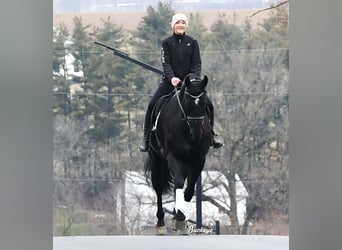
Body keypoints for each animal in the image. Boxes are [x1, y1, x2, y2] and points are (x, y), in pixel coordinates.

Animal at [144, 73, 212, 234]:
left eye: (204, 102)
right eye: (186, 101)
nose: (196, 133)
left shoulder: (199, 159)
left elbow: (189, 189)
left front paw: (181, 218)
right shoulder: (173, 156)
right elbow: (179, 183)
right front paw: (180, 217)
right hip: (157, 159)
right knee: (159, 187)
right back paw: (161, 223)